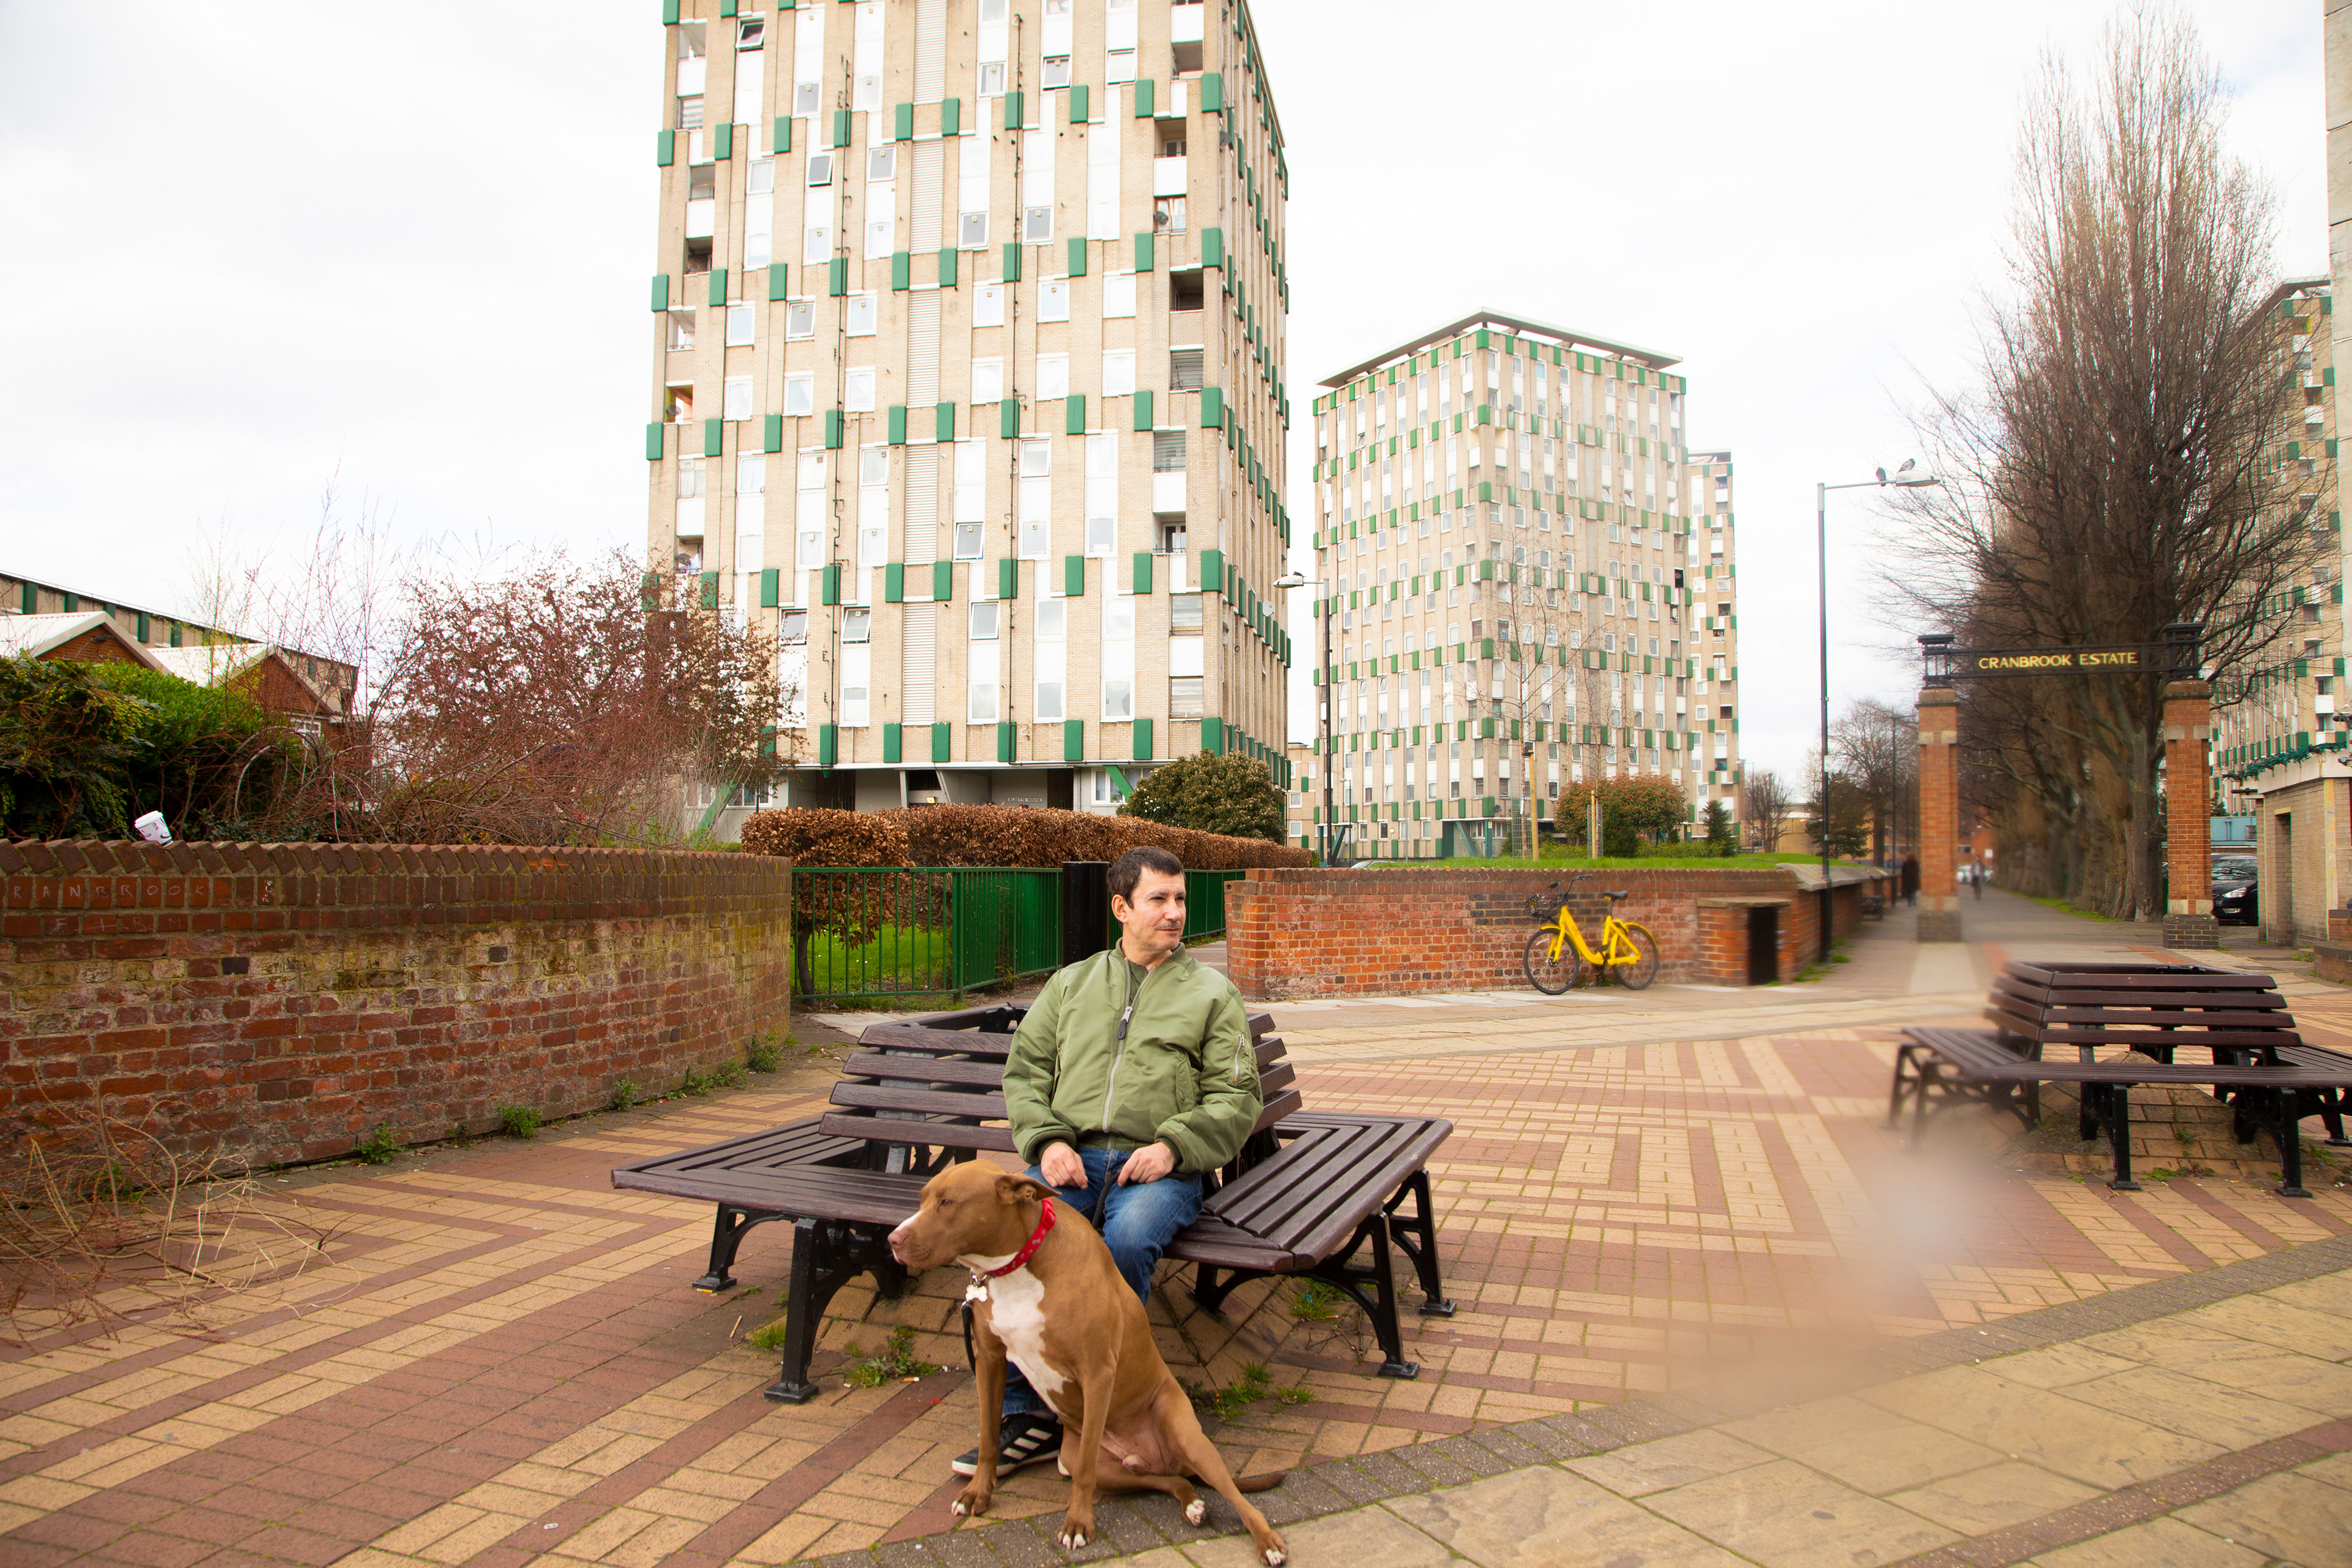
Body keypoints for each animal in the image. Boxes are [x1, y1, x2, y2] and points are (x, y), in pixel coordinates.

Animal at [884, 1161, 1289, 1561]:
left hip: (1187, 1439)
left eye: (947, 1203)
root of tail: (1156, 1457)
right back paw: (1192, 1504)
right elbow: (988, 1439)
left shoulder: (1096, 1374)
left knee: (1236, 1497)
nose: (893, 1240)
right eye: (922, 1199)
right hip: (1097, 1463)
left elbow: (1085, 1473)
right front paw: (978, 1495)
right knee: (1169, 1480)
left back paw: (1267, 1541)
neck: (1019, 1267)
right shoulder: (990, 1361)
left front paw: (1078, 1524)